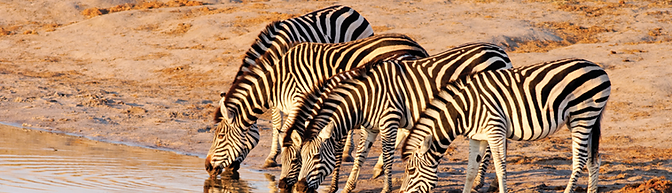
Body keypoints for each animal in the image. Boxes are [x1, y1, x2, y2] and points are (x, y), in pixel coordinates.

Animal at [203, 4, 372, 172]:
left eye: (220, 136)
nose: (207, 167)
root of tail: (349, 9)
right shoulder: (275, 91)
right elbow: (278, 125)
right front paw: (273, 157)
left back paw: (347, 152)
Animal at [205, 33, 428, 178]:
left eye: (220, 136)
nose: (206, 167)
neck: (277, 79)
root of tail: (416, 45)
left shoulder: (299, 100)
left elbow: (292, 135)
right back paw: (381, 166)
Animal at [282, 42, 510, 193]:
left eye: (314, 157)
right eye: (300, 157)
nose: (296, 187)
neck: (365, 97)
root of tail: (499, 51)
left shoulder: (389, 121)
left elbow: (388, 154)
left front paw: (385, 187)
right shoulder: (370, 127)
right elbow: (360, 155)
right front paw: (348, 187)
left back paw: (481, 182)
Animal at [402, 58, 612, 192]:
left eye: (411, 171)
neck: (465, 109)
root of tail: (599, 69)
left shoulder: (495, 130)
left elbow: (500, 168)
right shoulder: (477, 136)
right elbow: (470, 171)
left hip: (583, 116)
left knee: (580, 159)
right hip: (584, 119)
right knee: (594, 159)